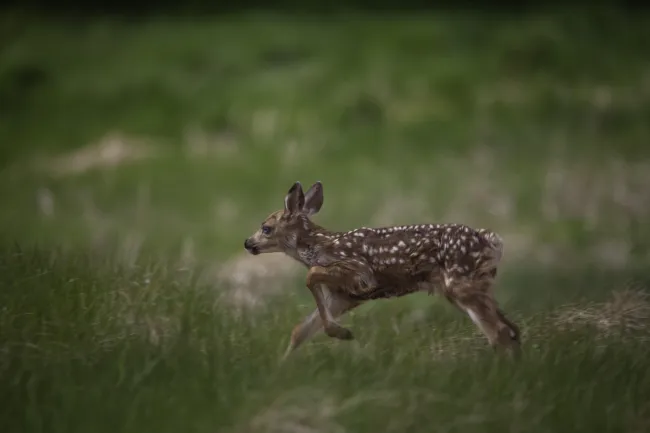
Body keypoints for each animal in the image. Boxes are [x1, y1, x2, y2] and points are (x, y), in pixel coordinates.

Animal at [244, 181, 521, 360]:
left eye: (266, 228)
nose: (247, 243)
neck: (321, 245)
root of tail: (492, 240)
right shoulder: (342, 297)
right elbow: (300, 331)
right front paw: (282, 367)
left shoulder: (359, 272)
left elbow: (311, 275)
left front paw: (343, 333)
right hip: (474, 285)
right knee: (511, 329)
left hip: (461, 282)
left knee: (499, 331)